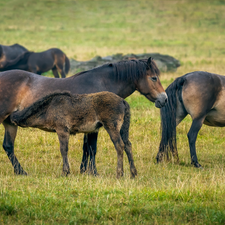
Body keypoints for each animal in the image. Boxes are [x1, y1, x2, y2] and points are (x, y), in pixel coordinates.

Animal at [0, 56, 167, 176]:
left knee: (8, 146)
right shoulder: (94, 128)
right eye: (154, 78)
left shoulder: (89, 127)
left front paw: (83, 170)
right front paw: (93, 173)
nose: (164, 99)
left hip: (10, 122)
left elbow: (86, 148)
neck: (102, 82)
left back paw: (20, 172)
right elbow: (92, 149)